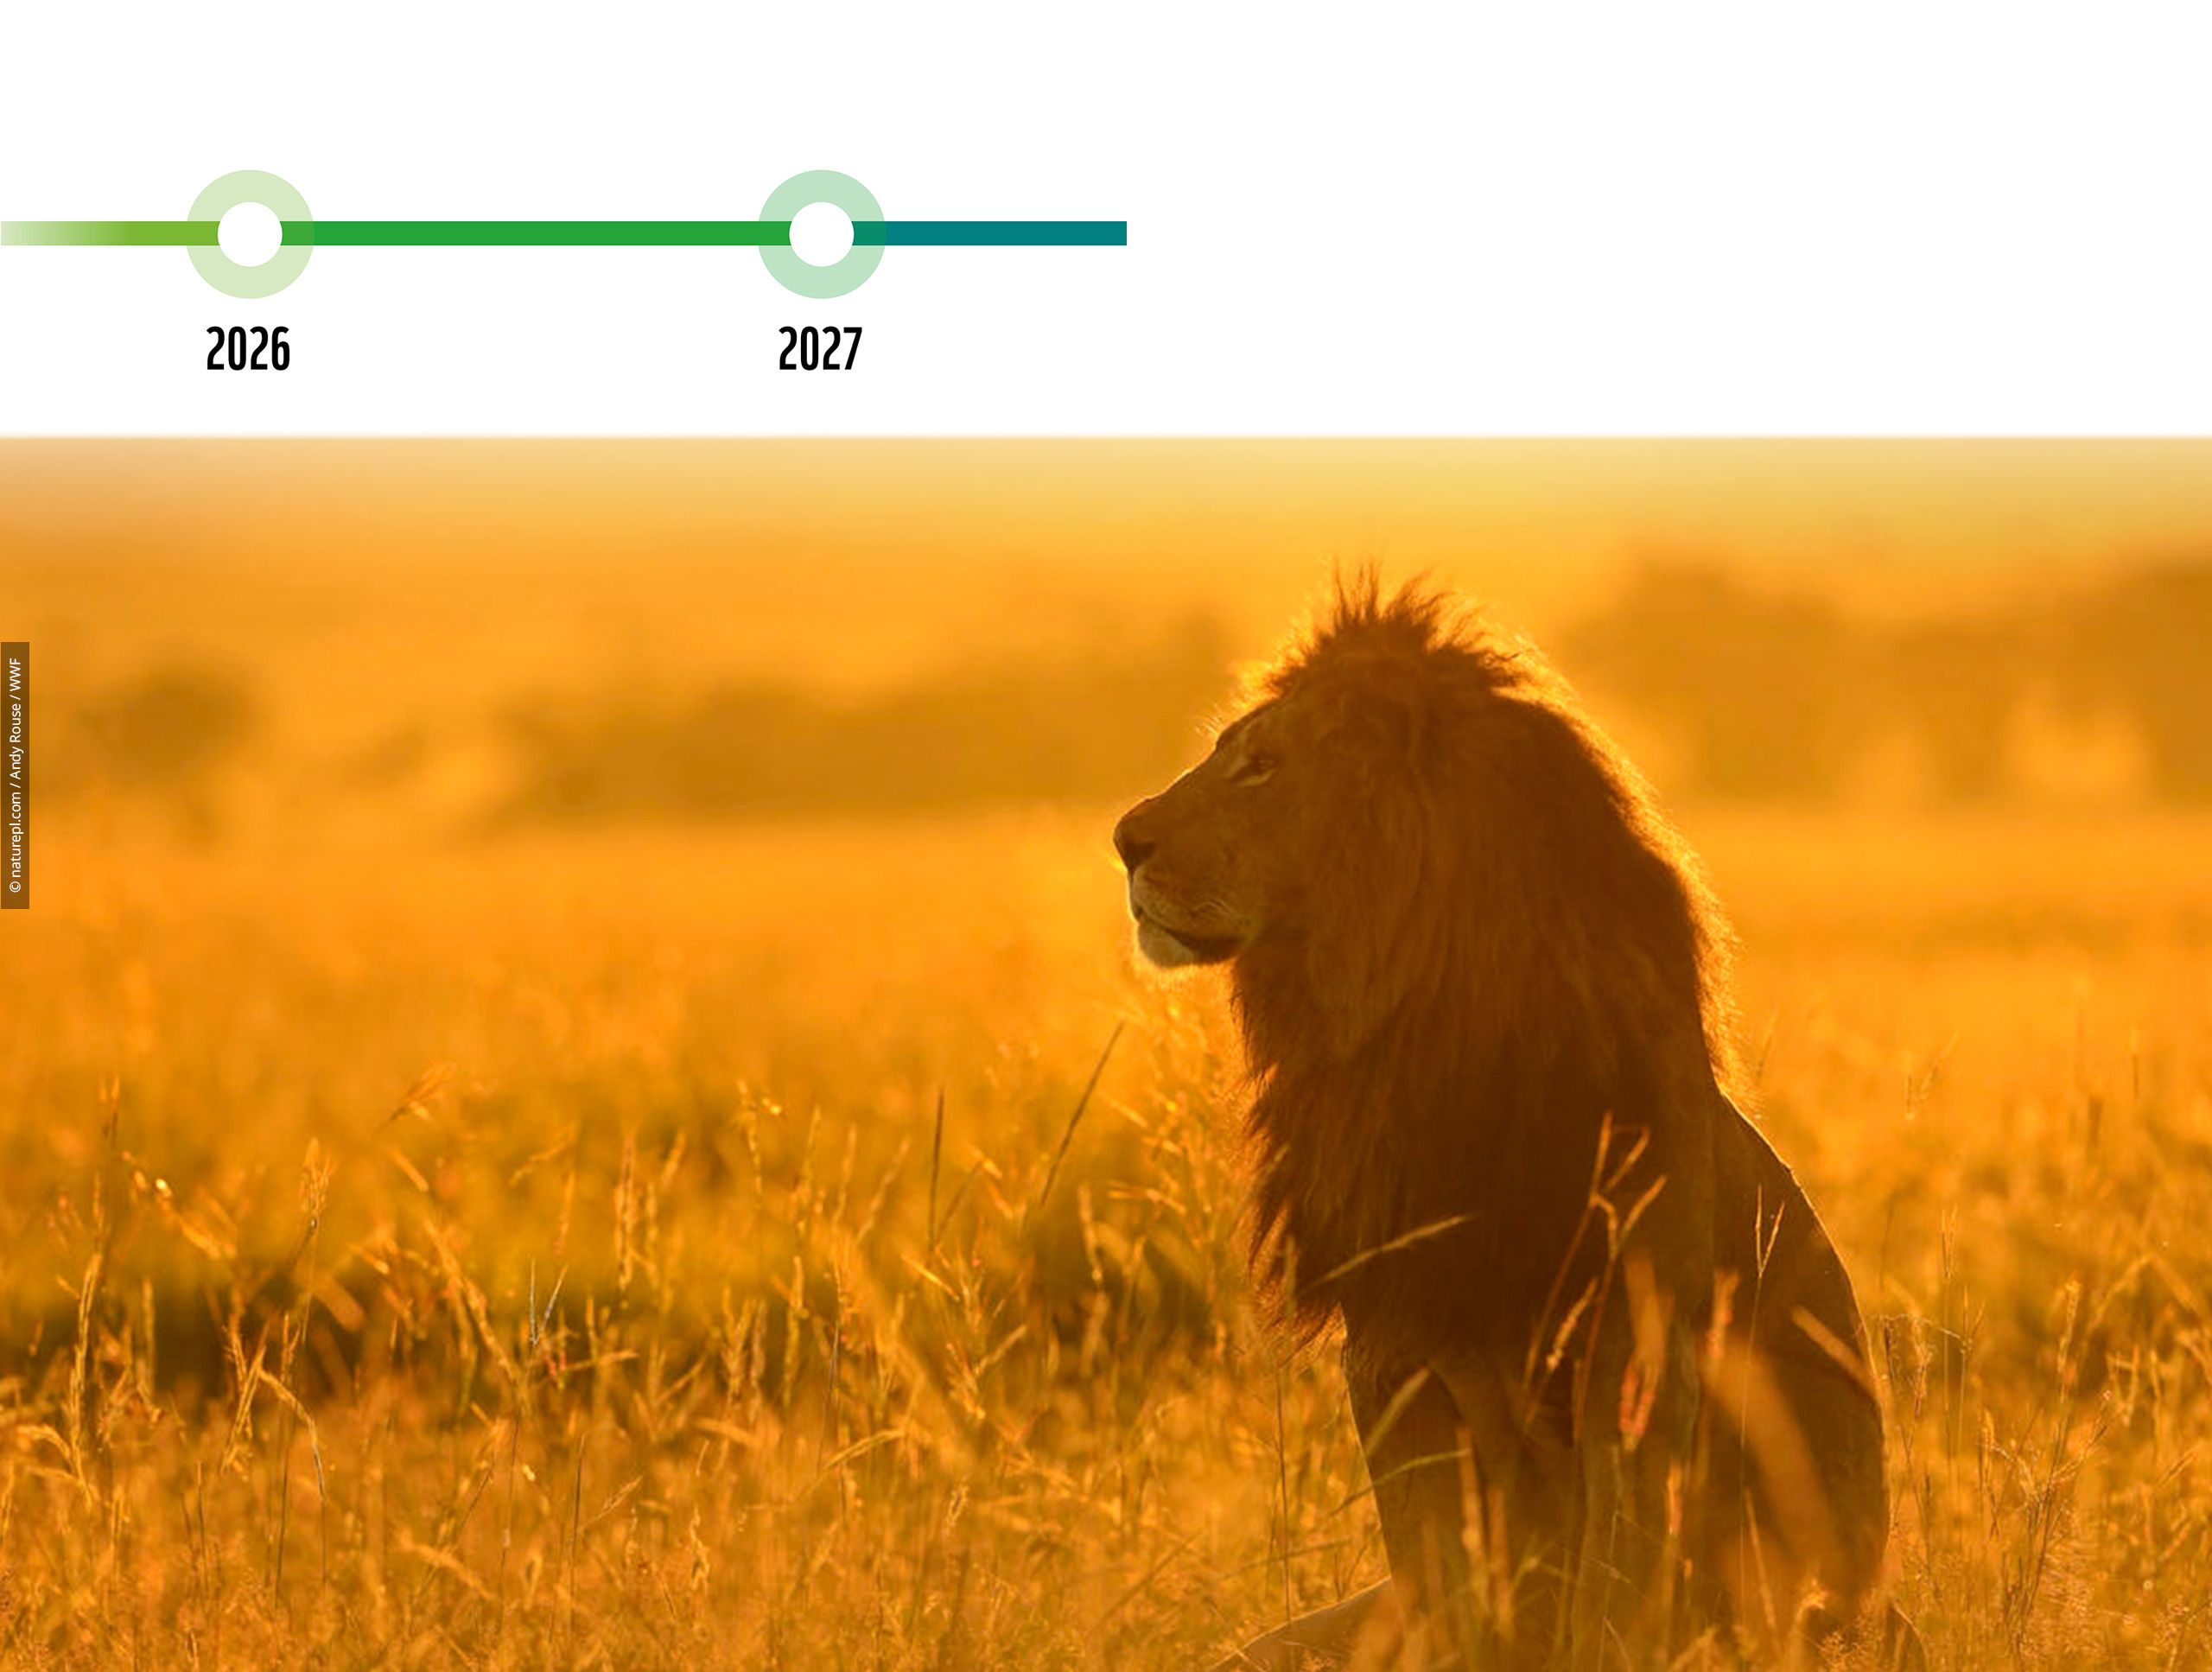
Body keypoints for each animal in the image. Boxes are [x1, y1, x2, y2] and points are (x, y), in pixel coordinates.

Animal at [1112, 578, 1919, 1670]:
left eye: (1262, 765)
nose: (1124, 840)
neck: (1409, 1035)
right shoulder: (1392, 1341)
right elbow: (1444, 1568)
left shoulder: (1635, 1334)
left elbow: (1614, 1570)